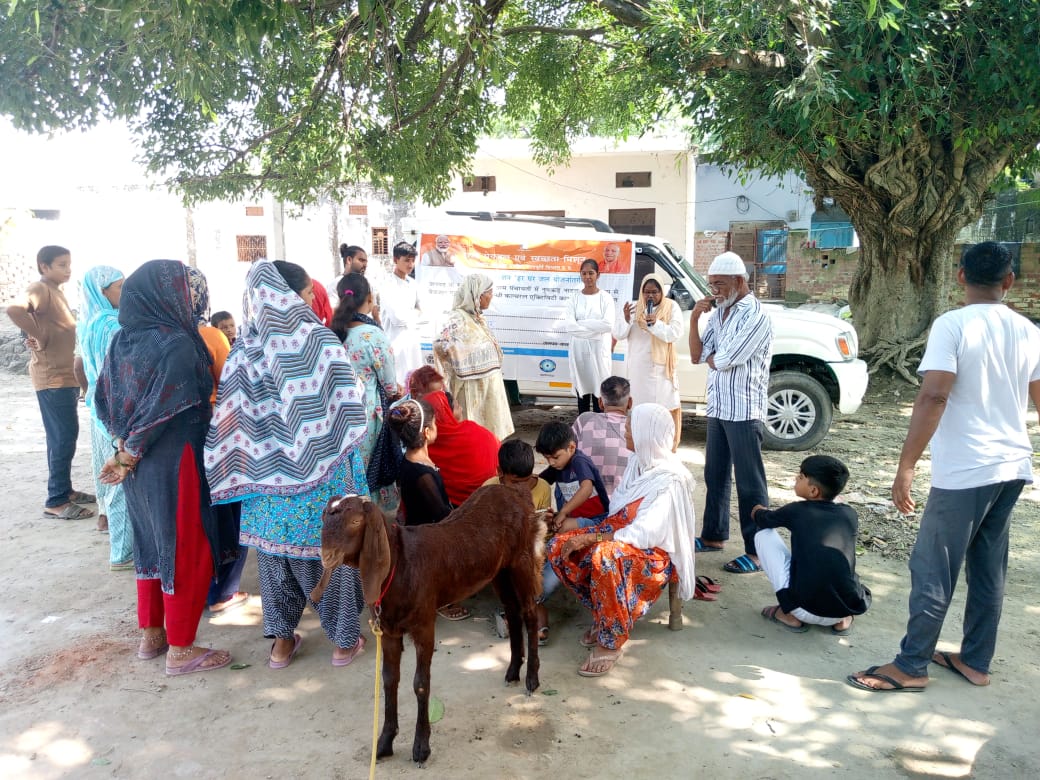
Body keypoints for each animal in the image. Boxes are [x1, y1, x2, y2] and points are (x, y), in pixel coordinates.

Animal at [310, 484, 546, 764]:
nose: (326, 556)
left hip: (522, 559)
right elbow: (389, 680)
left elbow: (420, 683)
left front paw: (421, 747)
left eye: (356, 521)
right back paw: (512, 671)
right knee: (511, 611)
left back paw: (532, 679)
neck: (399, 564)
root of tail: (517, 493)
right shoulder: (388, 630)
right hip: (499, 571)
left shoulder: (424, 624)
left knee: (529, 612)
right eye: (324, 516)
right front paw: (384, 743)